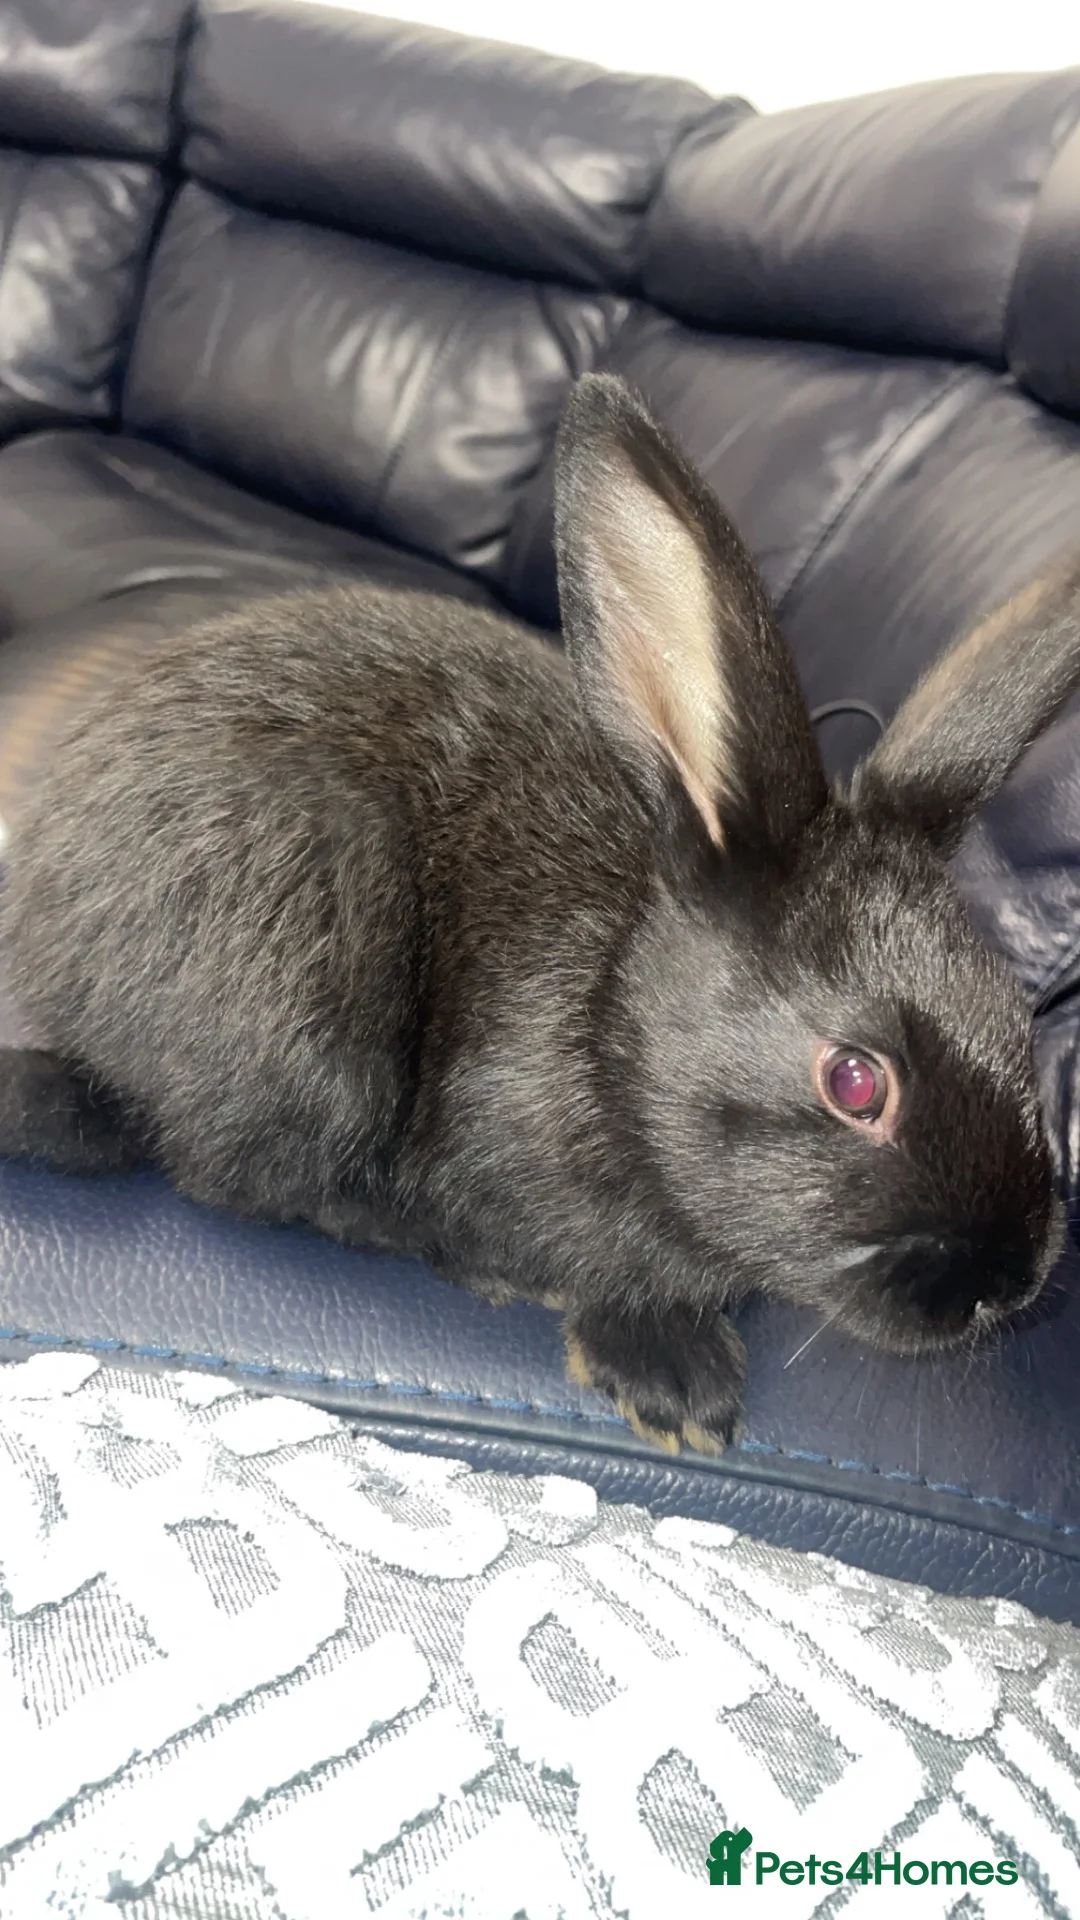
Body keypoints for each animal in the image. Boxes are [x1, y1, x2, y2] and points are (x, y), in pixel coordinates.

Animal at [0, 370, 1077, 1457]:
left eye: (1020, 1023)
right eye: (856, 1082)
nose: (1006, 1283)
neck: (615, 1034)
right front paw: (674, 1385)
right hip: (313, 965)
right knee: (232, 1168)